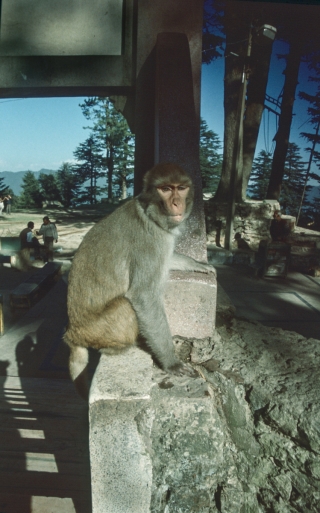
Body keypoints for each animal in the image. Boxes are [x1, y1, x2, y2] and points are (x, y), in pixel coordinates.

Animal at [64, 162, 215, 398]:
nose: (176, 202)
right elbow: (143, 296)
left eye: (181, 188)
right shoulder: (149, 241)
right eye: (165, 189)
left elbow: (168, 259)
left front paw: (198, 264)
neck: (150, 213)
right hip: (97, 329)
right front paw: (171, 362)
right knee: (125, 305)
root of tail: (72, 332)